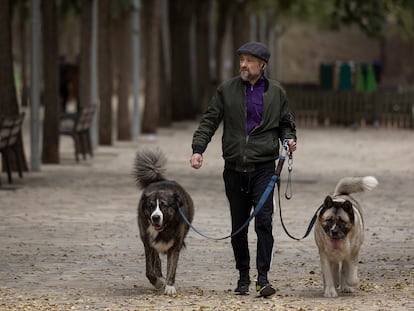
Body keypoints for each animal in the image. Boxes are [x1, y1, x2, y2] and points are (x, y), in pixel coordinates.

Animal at [135, 150, 195, 296]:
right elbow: (149, 269)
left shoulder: (176, 244)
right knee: (155, 260)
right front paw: (158, 282)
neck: (164, 229)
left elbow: (172, 267)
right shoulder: (147, 241)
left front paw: (170, 286)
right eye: (151, 206)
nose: (156, 217)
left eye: (163, 205)